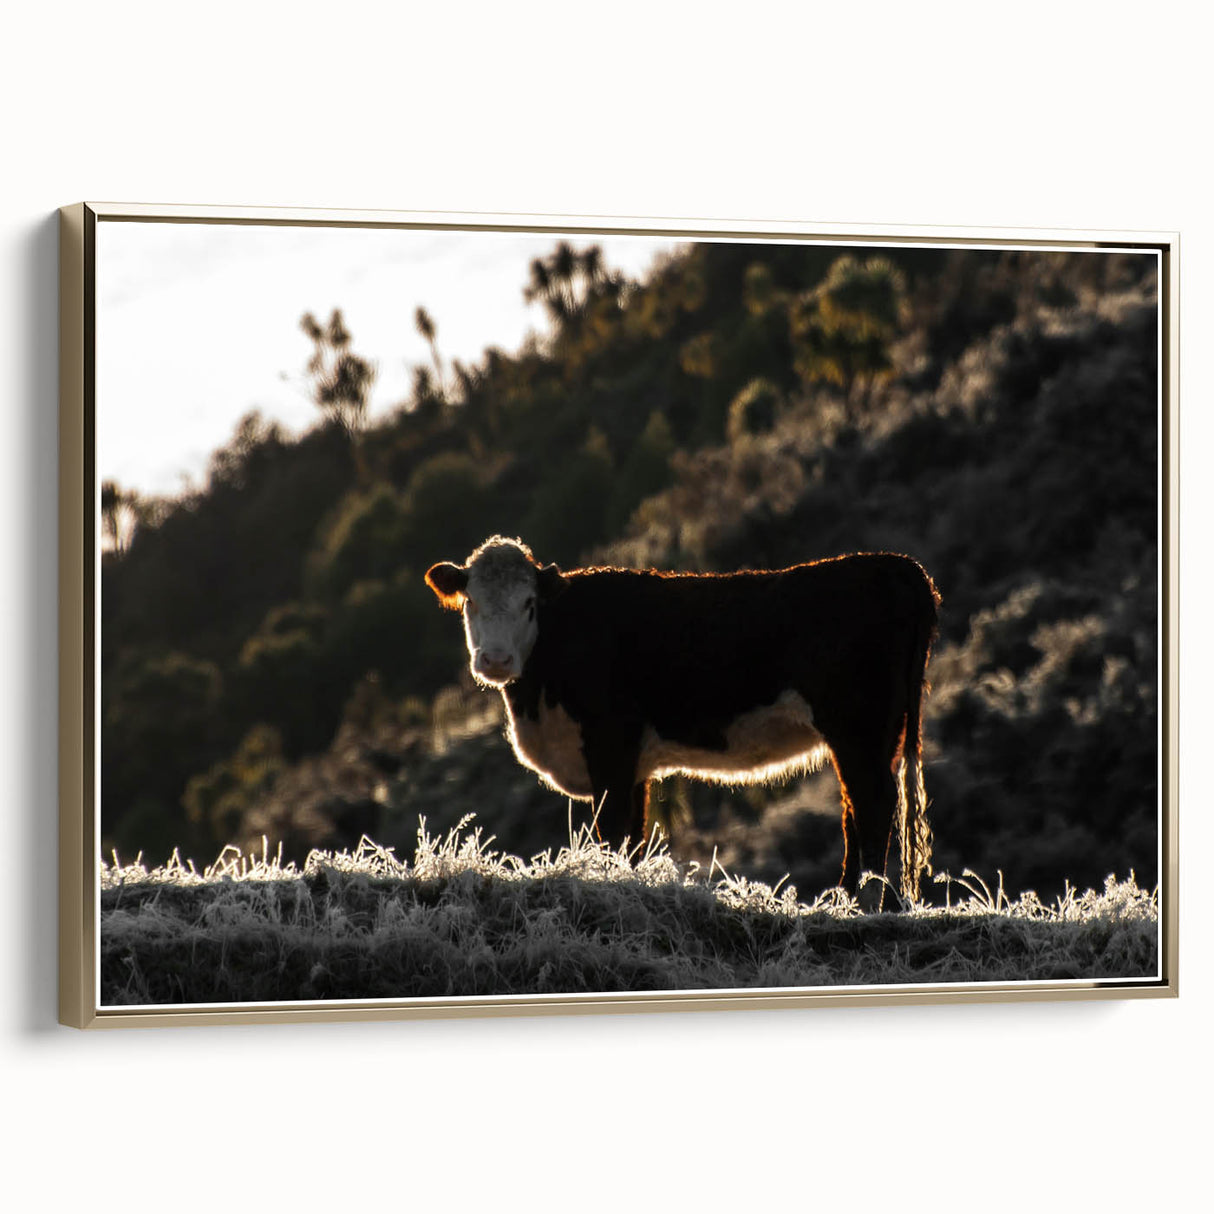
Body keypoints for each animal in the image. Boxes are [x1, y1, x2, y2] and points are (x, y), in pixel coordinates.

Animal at [425, 536, 939, 905]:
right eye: (470, 602)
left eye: (529, 604)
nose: (495, 660)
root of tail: (895, 565)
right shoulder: (634, 764)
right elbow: (632, 836)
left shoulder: (610, 746)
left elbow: (611, 830)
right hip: (874, 733)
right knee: (860, 807)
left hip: (858, 727)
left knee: (872, 804)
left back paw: (859, 902)